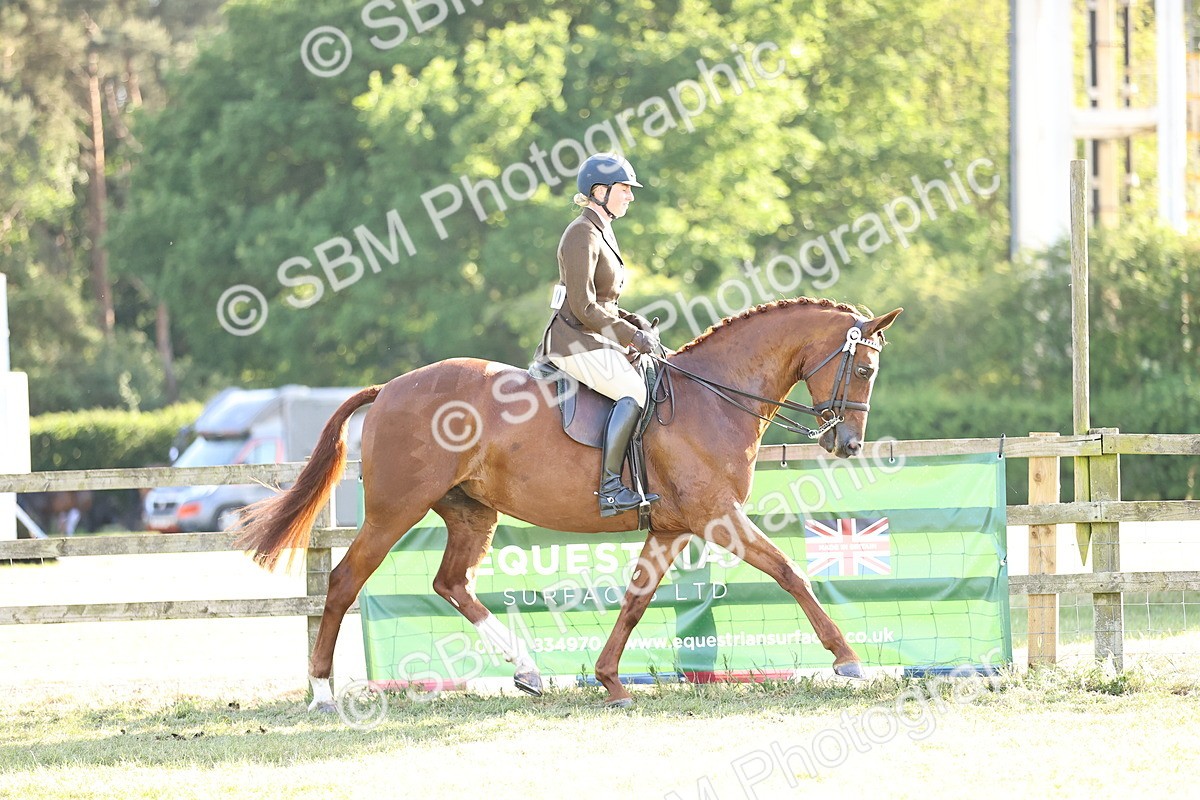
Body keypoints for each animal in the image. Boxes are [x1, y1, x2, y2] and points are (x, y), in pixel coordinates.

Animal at [236, 297, 902, 709]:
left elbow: (635, 600)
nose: (846, 444)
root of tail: (390, 387)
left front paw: (610, 681)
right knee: (344, 581)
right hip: (394, 512)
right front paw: (848, 660)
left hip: (471, 512)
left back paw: (528, 671)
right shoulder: (718, 517)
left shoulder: (671, 527)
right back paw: (322, 693)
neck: (713, 397)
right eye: (865, 369)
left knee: (452, 583)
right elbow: (790, 572)